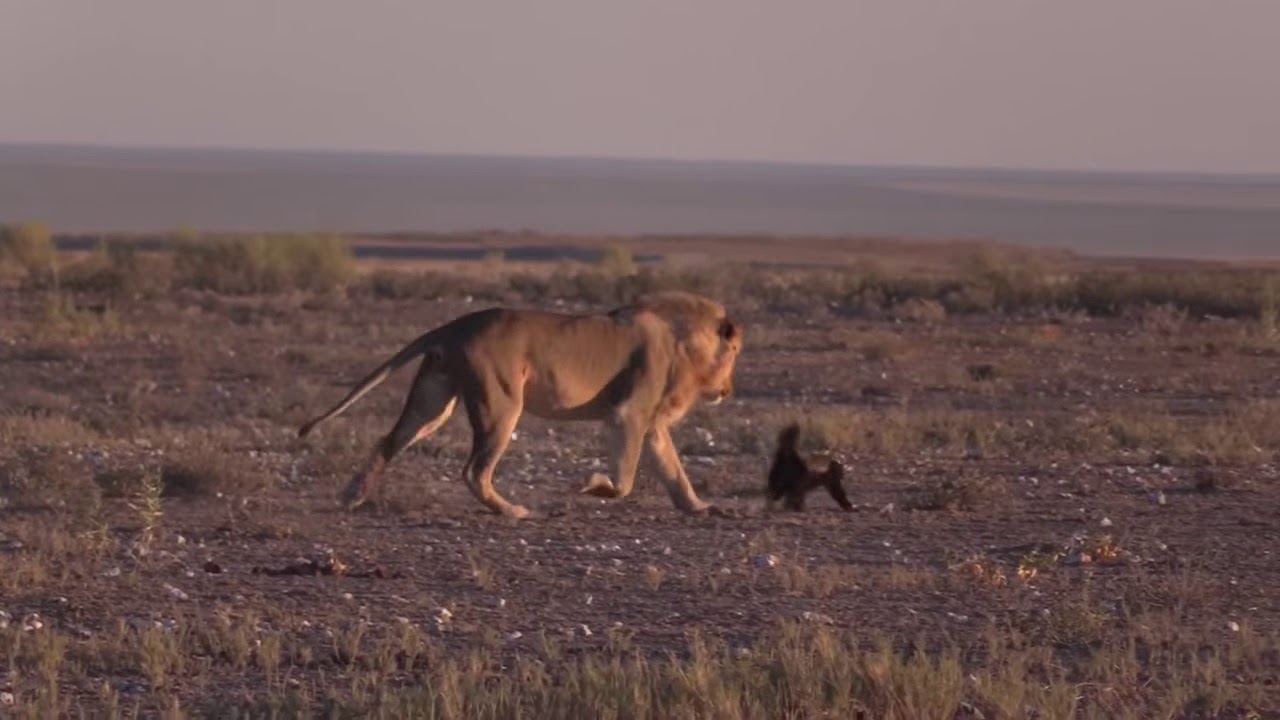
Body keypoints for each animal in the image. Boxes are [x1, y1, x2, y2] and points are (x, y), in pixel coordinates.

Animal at [296, 290, 744, 519]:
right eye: (736, 351)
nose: (728, 391)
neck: (685, 341)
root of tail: (454, 325)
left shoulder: (652, 424)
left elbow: (675, 471)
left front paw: (699, 506)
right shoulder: (629, 413)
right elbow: (626, 481)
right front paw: (594, 487)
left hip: (433, 402)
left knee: (389, 442)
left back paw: (352, 496)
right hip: (501, 404)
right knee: (474, 471)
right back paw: (513, 511)